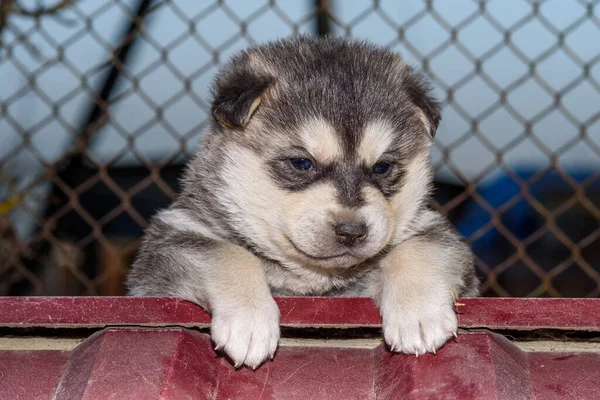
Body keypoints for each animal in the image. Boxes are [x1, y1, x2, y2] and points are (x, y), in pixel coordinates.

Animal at [126, 35, 478, 368]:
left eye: (382, 167)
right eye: (301, 163)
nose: (352, 230)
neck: (312, 279)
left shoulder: (433, 231)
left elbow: (421, 246)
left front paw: (420, 315)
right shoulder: (171, 241)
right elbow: (228, 254)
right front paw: (249, 320)